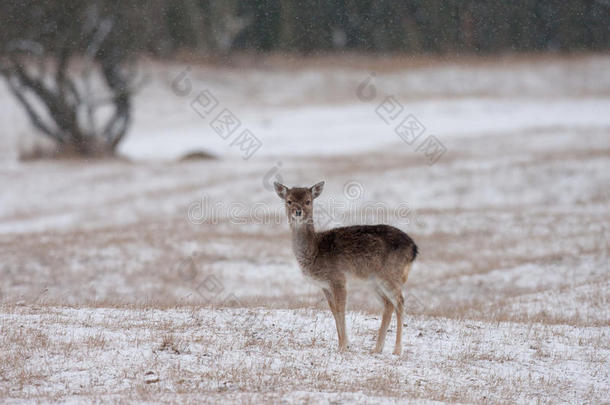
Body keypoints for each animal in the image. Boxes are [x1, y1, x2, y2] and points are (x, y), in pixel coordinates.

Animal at [274, 181, 416, 354]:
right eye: (289, 201)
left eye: (308, 201)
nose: (298, 211)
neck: (315, 251)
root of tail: (414, 249)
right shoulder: (325, 285)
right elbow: (334, 310)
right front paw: (342, 343)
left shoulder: (338, 278)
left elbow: (341, 309)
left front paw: (344, 346)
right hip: (375, 282)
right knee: (388, 304)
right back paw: (377, 348)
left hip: (390, 275)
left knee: (400, 302)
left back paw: (397, 349)